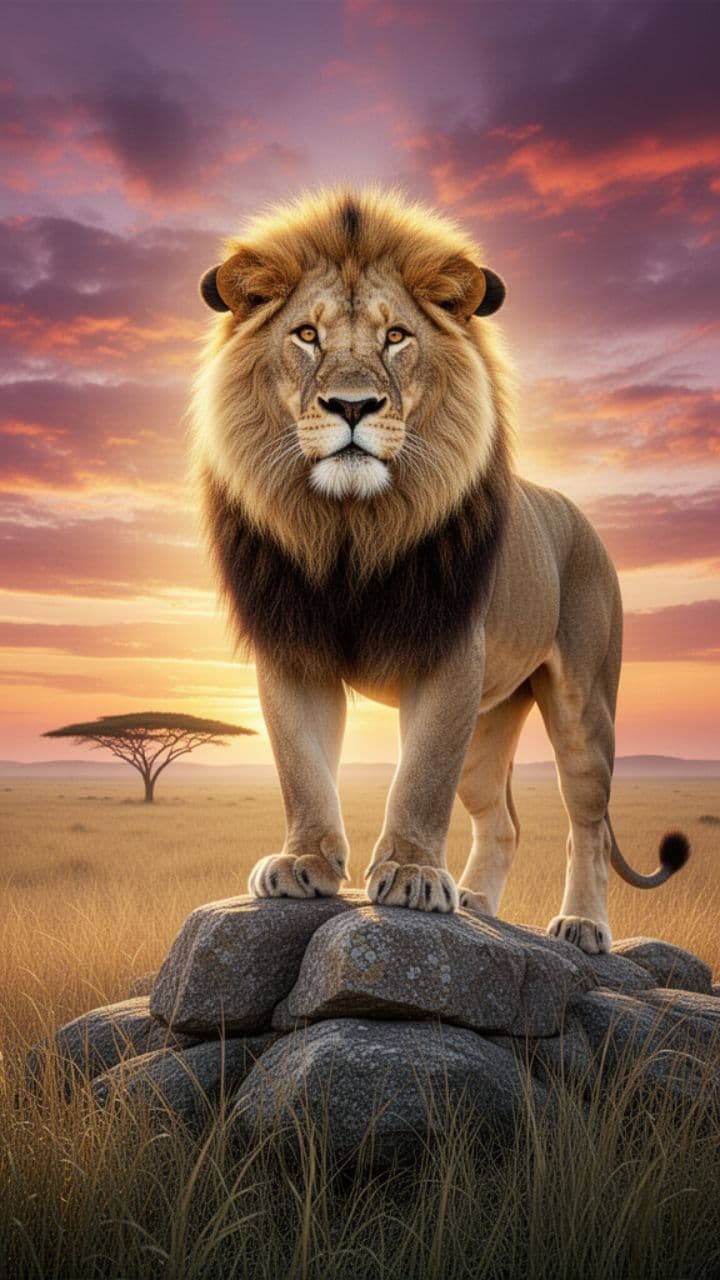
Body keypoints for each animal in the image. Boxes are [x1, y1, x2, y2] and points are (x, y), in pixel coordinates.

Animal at [190, 184, 689, 954]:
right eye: (306, 335)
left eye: (396, 337)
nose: (353, 406)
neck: (351, 528)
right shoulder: (292, 647)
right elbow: (302, 765)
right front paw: (305, 864)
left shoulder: (450, 651)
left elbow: (421, 775)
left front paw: (413, 876)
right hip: (489, 726)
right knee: (502, 819)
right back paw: (479, 904)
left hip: (584, 705)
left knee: (586, 825)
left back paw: (581, 925)